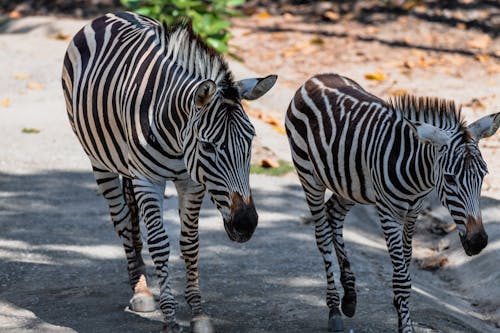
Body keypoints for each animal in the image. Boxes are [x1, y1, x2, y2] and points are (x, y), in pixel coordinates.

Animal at [61, 12, 278, 332]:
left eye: (250, 141)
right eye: (208, 146)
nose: (246, 224)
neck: (176, 135)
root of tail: (109, 14)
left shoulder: (192, 181)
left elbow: (190, 243)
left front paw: (198, 313)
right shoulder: (148, 180)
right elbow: (160, 244)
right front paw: (170, 319)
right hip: (100, 160)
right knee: (123, 220)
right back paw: (140, 291)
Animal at [284, 73, 498, 332]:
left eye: (484, 175)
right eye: (449, 178)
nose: (478, 242)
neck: (417, 173)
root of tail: (314, 79)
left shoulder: (413, 212)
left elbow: (405, 265)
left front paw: (399, 311)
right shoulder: (389, 213)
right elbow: (402, 277)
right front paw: (405, 326)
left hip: (350, 184)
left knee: (333, 214)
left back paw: (350, 296)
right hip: (309, 177)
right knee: (322, 234)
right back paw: (334, 309)